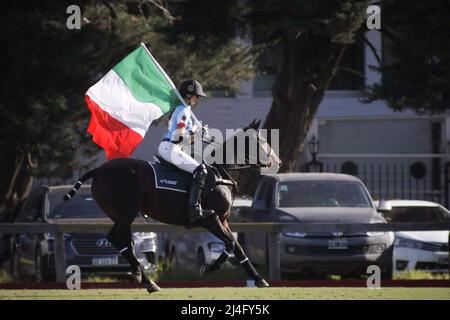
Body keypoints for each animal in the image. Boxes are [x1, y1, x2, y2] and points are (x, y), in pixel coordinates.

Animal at [63, 119, 282, 292]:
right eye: (262, 140)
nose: (278, 162)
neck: (222, 174)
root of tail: (99, 170)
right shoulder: (211, 219)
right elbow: (229, 244)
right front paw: (208, 268)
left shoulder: (224, 220)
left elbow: (237, 247)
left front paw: (259, 279)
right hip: (128, 210)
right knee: (116, 237)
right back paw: (148, 282)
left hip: (117, 213)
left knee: (123, 241)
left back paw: (144, 278)